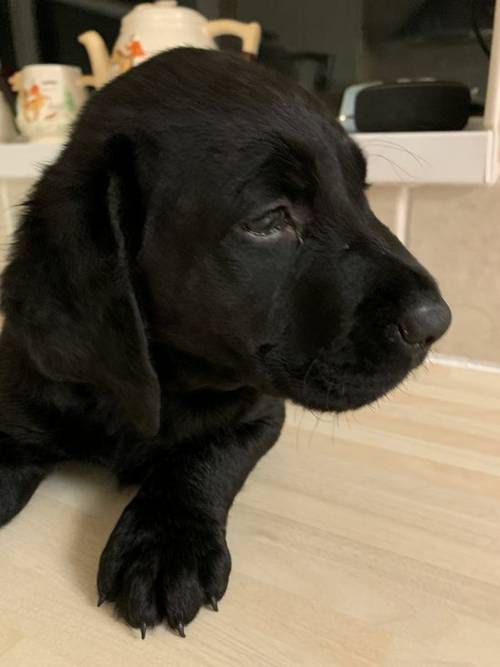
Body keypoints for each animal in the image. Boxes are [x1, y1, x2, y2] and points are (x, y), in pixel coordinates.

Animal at [0, 51, 452, 636]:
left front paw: (165, 543)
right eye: (268, 220)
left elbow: (205, 455)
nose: (437, 321)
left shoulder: (258, 413)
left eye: (362, 193)